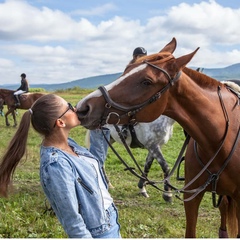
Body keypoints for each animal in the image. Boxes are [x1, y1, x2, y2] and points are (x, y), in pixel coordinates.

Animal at [76, 38, 240, 237]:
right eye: (126, 71)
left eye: (147, 81)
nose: (83, 107)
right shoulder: (155, 148)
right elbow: (165, 166)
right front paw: (166, 193)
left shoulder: (154, 146)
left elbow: (149, 165)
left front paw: (144, 187)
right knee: (98, 160)